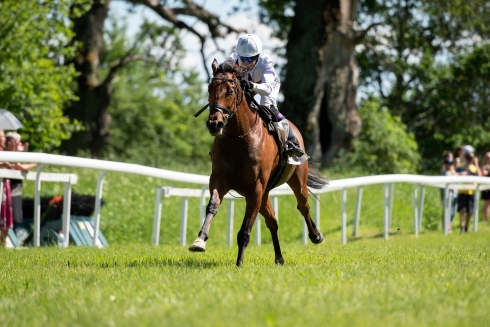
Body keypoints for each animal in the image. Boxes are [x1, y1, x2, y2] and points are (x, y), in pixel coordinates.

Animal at [189, 59, 328, 268]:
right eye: (209, 88)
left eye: (230, 91)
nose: (215, 124)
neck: (239, 139)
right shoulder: (220, 179)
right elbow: (212, 206)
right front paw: (199, 240)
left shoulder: (255, 188)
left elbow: (245, 229)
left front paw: (239, 263)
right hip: (264, 194)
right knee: (272, 221)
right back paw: (279, 257)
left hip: (295, 180)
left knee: (303, 205)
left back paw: (316, 235)